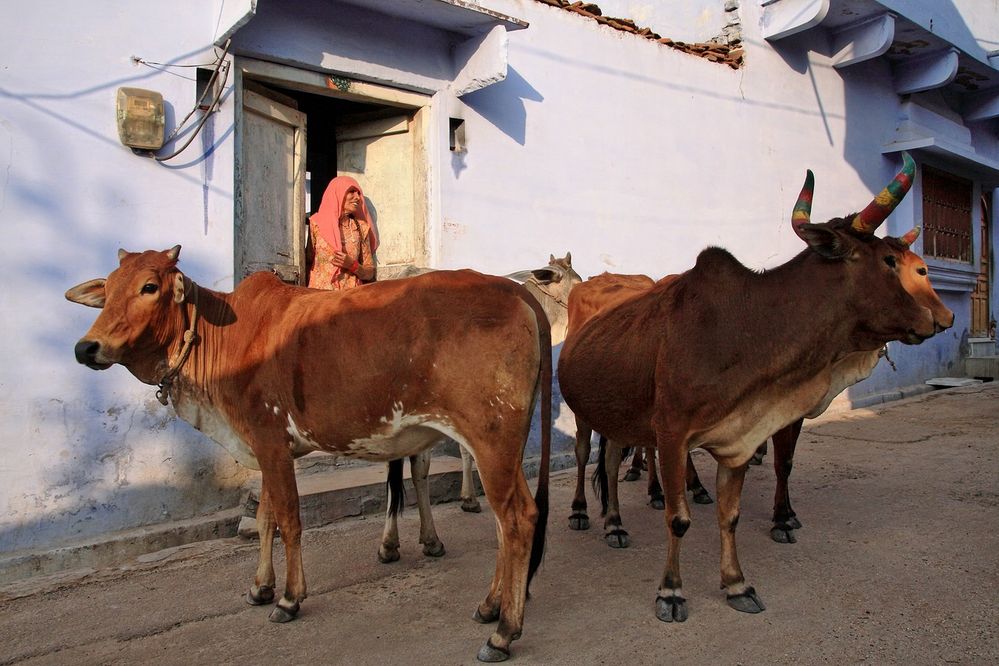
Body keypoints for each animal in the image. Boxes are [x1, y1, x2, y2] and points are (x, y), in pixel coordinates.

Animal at [67, 248, 556, 660]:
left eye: (149, 287)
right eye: (108, 290)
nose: (86, 347)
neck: (223, 337)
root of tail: (513, 289)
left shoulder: (270, 442)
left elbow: (288, 519)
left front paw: (288, 598)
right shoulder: (264, 446)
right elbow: (264, 518)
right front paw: (260, 587)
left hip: (491, 438)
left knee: (517, 519)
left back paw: (504, 632)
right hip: (501, 444)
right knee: (505, 522)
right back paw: (490, 606)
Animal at [560, 153, 956, 620]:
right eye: (890, 261)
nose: (942, 318)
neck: (748, 326)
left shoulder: (741, 437)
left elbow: (729, 515)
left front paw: (736, 584)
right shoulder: (672, 434)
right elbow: (678, 518)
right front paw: (671, 591)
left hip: (619, 416)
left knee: (609, 463)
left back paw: (615, 524)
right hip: (586, 414)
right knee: (587, 457)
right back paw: (584, 513)